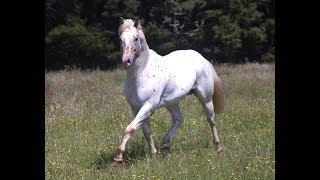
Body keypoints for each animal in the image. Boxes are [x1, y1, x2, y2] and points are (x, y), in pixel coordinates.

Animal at [114, 18, 224, 163]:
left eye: (136, 38)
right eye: (121, 39)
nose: (125, 61)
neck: (141, 73)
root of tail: (202, 59)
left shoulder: (148, 106)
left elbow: (130, 128)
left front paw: (119, 157)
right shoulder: (136, 108)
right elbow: (146, 132)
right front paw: (154, 154)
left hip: (205, 98)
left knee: (211, 120)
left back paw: (218, 148)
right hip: (172, 102)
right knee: (178, 119)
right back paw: (165, 144)